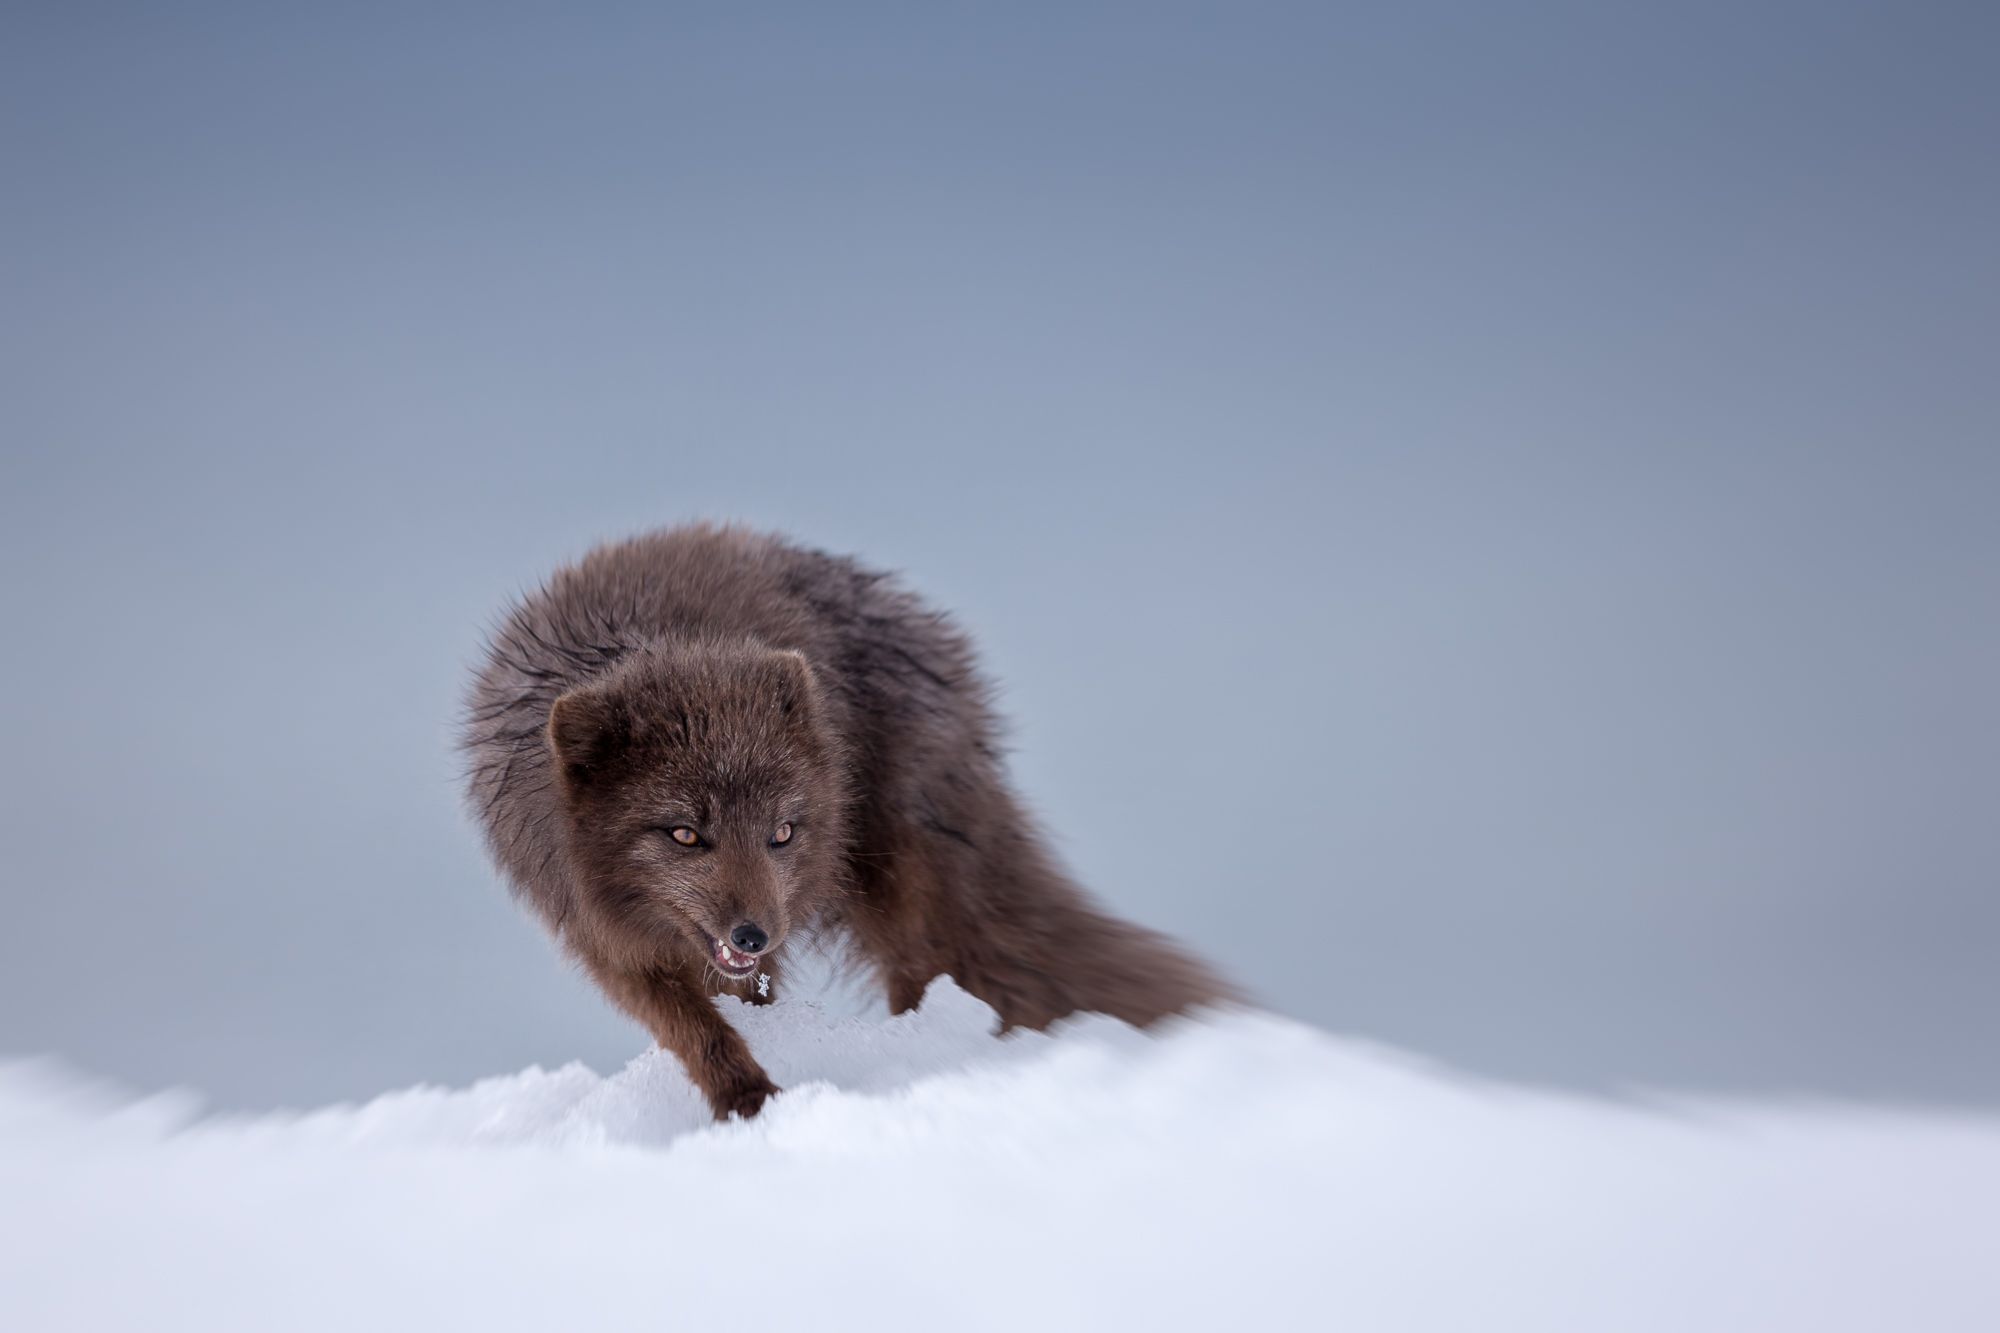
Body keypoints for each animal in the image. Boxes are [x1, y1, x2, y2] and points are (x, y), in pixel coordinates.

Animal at [462, 524, 1235, 1118]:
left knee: (929, 971)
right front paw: (746, 1099)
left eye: (781, 833)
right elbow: (692, 1027)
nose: (753, 933)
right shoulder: (604, 937)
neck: (658, 644)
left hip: (907, 877)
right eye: (684, 833)